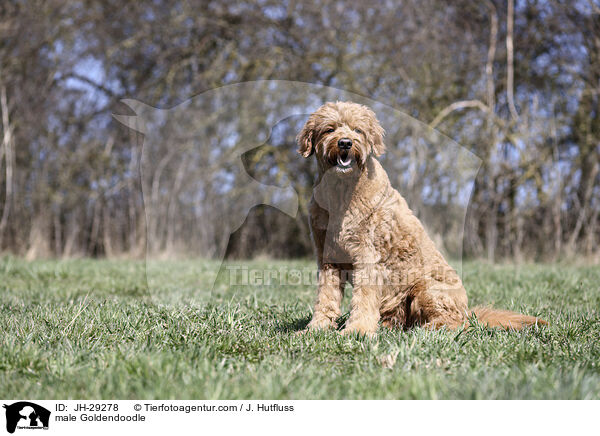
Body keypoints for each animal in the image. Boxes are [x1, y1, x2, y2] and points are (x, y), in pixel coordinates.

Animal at [298, 101, 548, 334]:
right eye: (329, 129)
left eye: (358, 130)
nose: (345, 143)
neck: (340, 193)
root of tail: (469, 312)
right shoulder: (327, 258)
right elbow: (325, 298)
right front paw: (317, 327)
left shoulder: (367, 256)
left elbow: (364, 298)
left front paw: (357, 330)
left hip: (427, 287)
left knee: (455, 323)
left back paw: (426, 329)